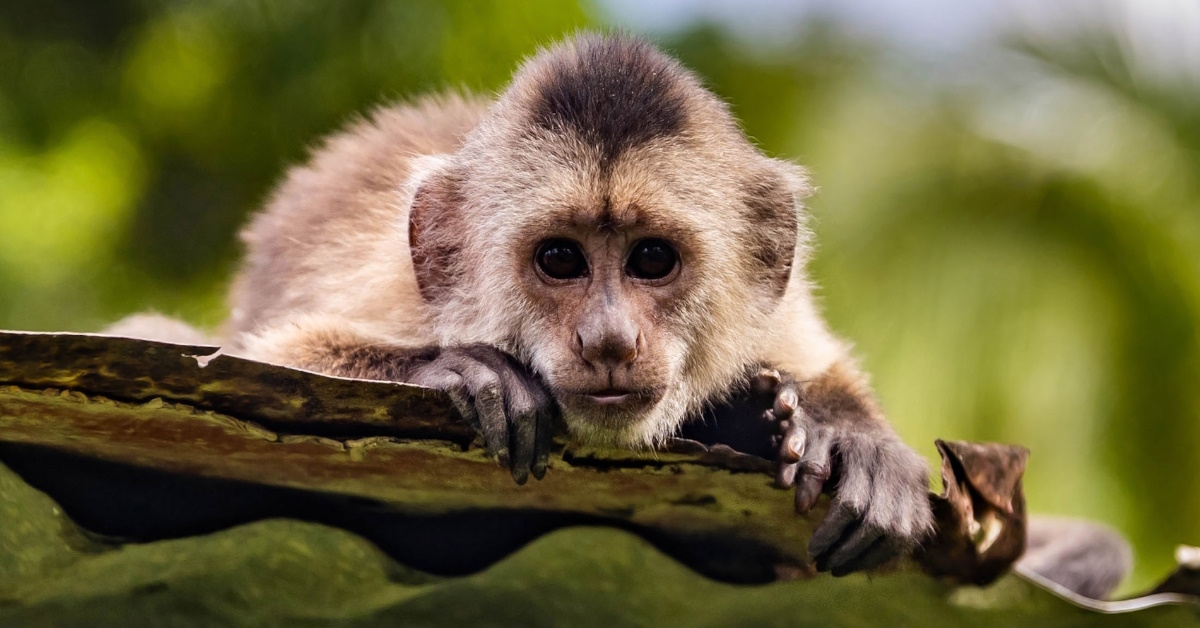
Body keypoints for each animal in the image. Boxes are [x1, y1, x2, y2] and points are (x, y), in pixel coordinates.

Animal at [100, 34, 1132, 590]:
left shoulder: (774, 304)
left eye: (652, 261)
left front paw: (851, 438)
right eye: (560, 260)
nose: (606, 337)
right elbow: (262, 363)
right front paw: (464, 370)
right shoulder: (401, 284)